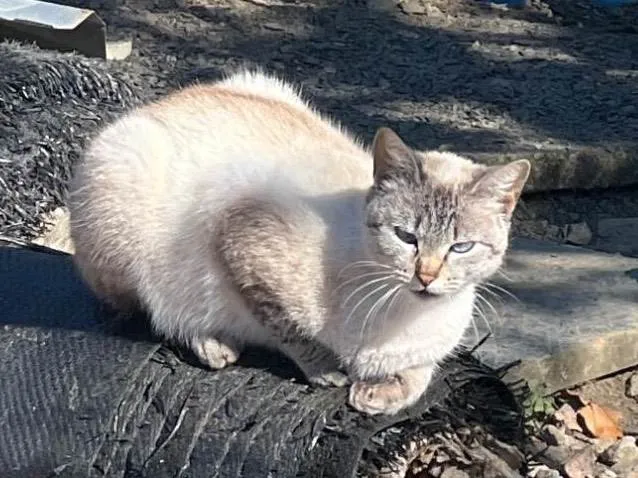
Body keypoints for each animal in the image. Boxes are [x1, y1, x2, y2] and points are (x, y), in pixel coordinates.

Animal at [67, 69, 532, 416]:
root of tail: (157, 105)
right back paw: (213, 343)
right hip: (127, 191)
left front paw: (377, 395)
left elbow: (419, 375)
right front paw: (331, 373)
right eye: (406, 237)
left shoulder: (425, 351)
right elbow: (292, 332)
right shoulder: (241, 238)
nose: (427, 276)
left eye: (461, 247)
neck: (402, 317)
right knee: (150, 311)